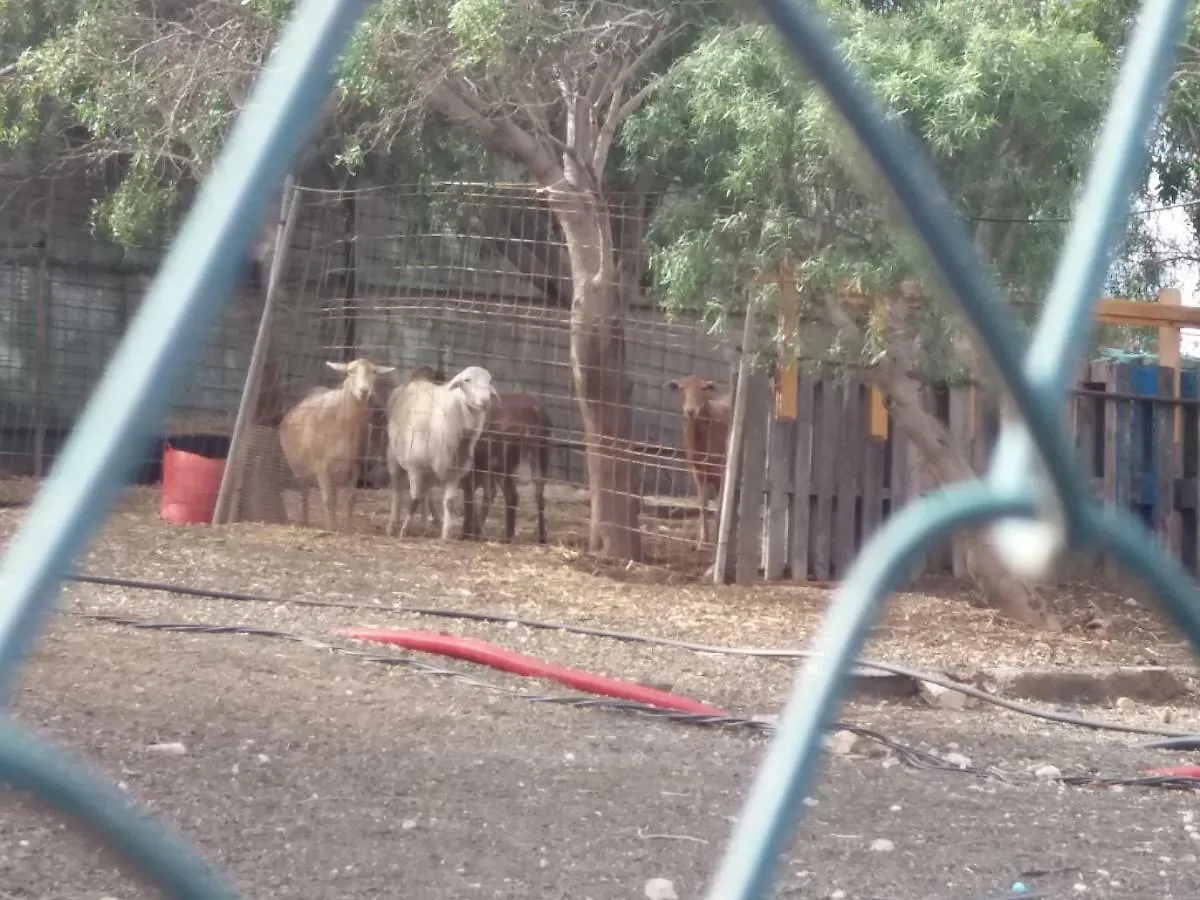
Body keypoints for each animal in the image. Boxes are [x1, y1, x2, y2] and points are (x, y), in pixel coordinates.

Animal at [278, 355, 396, 532]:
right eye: (350, 371)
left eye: (374, 371)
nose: (364, 391)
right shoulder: (321, 466)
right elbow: (327, 499)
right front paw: (330, 528)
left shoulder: (355, 467)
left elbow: (350, 498)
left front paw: (348, 527)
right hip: (297, 465)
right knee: (304, 490)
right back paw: (306, 519)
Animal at [386, 367, 494, 542]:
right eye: (466, 380)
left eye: (490, 380)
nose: (485, 400)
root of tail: (417, 379)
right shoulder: (415, 468)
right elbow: (414, 499)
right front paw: (403, 530)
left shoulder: (454, 472)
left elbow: (448, 502)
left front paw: (445, 535)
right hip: (394, 457)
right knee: (397, 491)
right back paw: (393, 524)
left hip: (429, 472)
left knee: (425, 494)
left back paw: (425, 525)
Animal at [460, 393, 549, 542]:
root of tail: (536, 411)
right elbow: (485, 494)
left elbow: (471, 496)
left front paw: (467, 533)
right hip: (540, 457)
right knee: (539, 494)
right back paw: (542, 538)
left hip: (504, 465)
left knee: (512, 496)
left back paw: (507, 537)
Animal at [667, 374, 729, 549]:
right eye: (681, 388)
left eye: (703, 388)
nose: (690, 411)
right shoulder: (696, 470)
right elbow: (703, 504)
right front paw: (703, 541)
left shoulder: (721, 469)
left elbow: (720, 504)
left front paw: (715, 539)